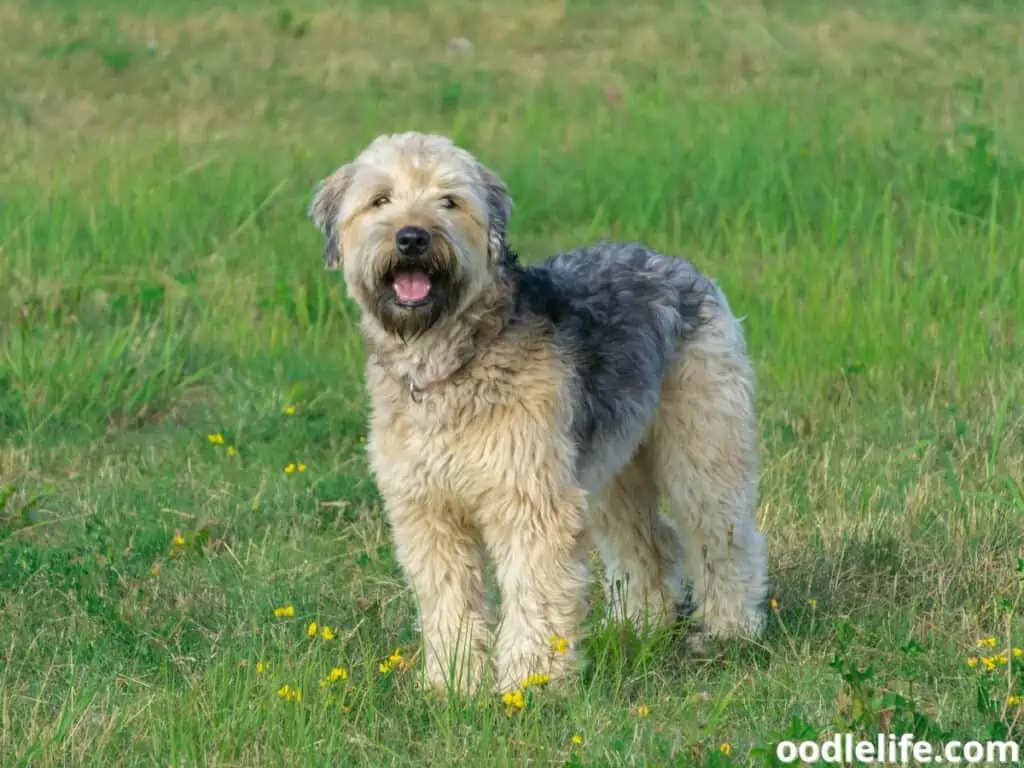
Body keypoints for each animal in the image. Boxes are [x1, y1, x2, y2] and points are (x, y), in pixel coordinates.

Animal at [311, 132, 770, 696]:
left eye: (449, 201)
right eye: (380, 200)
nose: (412, 238)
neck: (452, 360)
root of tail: (685, 268)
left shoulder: (530, 495)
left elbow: (535, 592)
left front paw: (530, 684)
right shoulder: (428, 510)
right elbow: (448, 599)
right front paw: (453, 683)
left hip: (702, 445)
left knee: (725, 537)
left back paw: (729, 630)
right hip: (610, 468)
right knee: (652, 542)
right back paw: (638, 626)